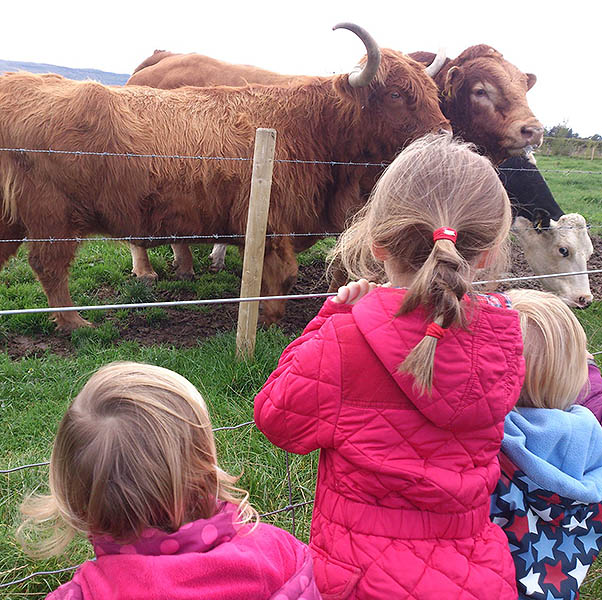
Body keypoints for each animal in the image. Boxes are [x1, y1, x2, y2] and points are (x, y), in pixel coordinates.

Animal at [0, 23, 448, 330]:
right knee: (50, 267)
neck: (310, 130)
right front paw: (268, 318)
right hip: (51, 217)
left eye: (433, 92)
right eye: (396, 94)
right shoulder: (272, 223)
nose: (444, 132)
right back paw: (76, 323)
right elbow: (280, 275)